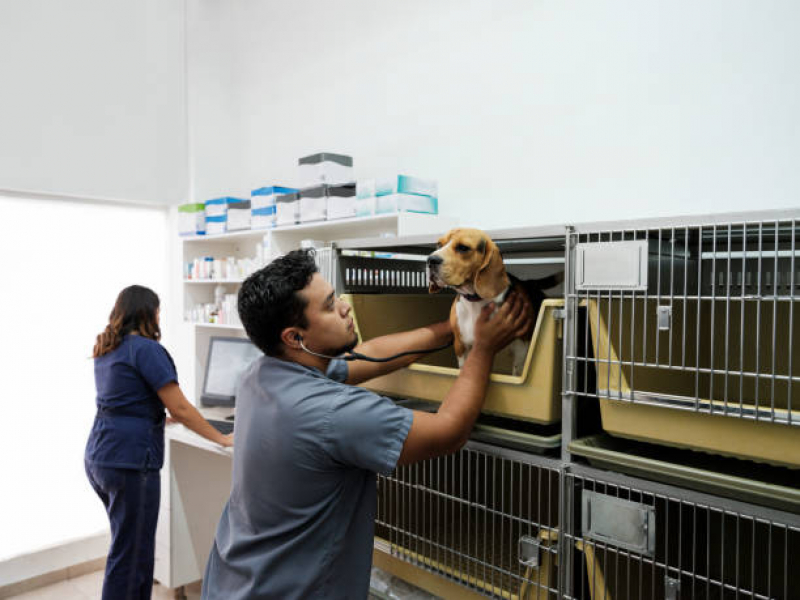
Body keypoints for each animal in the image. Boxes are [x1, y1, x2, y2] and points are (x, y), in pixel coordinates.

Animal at [424, 227, 564, 372]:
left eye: (463, 247)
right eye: (438, 245)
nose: (430, 260)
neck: (475, 302)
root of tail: (528, 282)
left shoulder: (521, 347)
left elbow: (517, 370)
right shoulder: (461, 346)